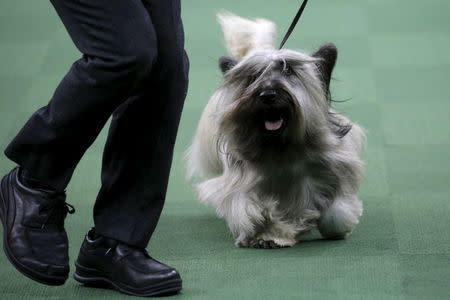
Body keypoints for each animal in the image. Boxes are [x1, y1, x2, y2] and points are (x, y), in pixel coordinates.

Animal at [186, 12, 366, 248]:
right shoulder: (247, 187)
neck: (282, 146)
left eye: (288, 70)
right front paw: (268, 236)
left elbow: (336, 209)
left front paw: (337, 227)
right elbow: (256, 211)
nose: (267, 94)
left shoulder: (333, 170)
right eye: (253, 76)